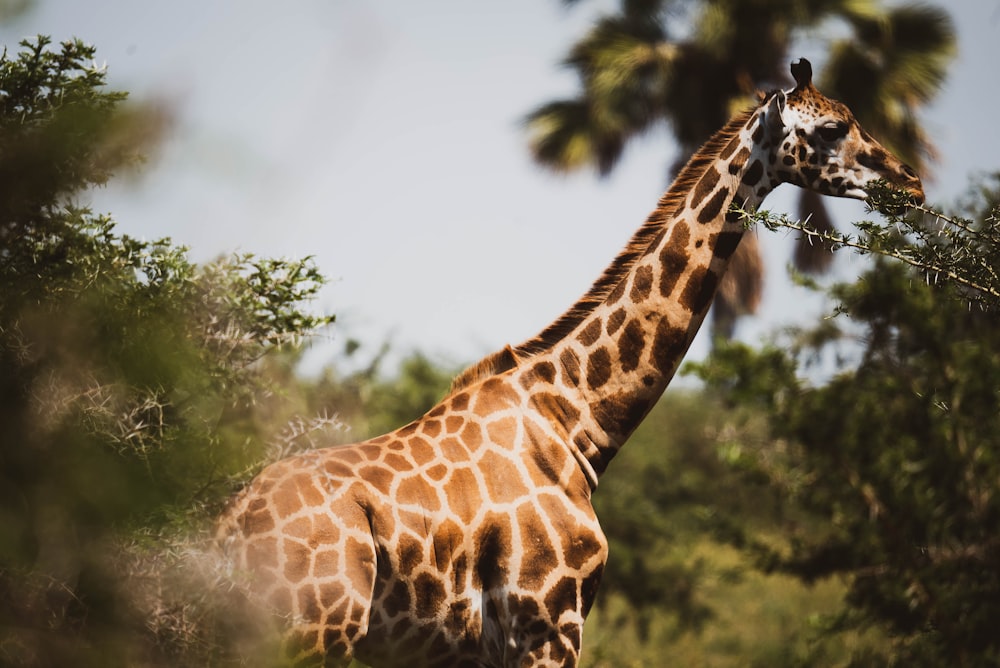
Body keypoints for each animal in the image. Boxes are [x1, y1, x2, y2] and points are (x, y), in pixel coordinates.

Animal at [217, 60, 920, 664]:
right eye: (831, 128)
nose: (909, 180)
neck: (576, 418)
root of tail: (225, 533)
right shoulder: (550, 625)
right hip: (308, 637)